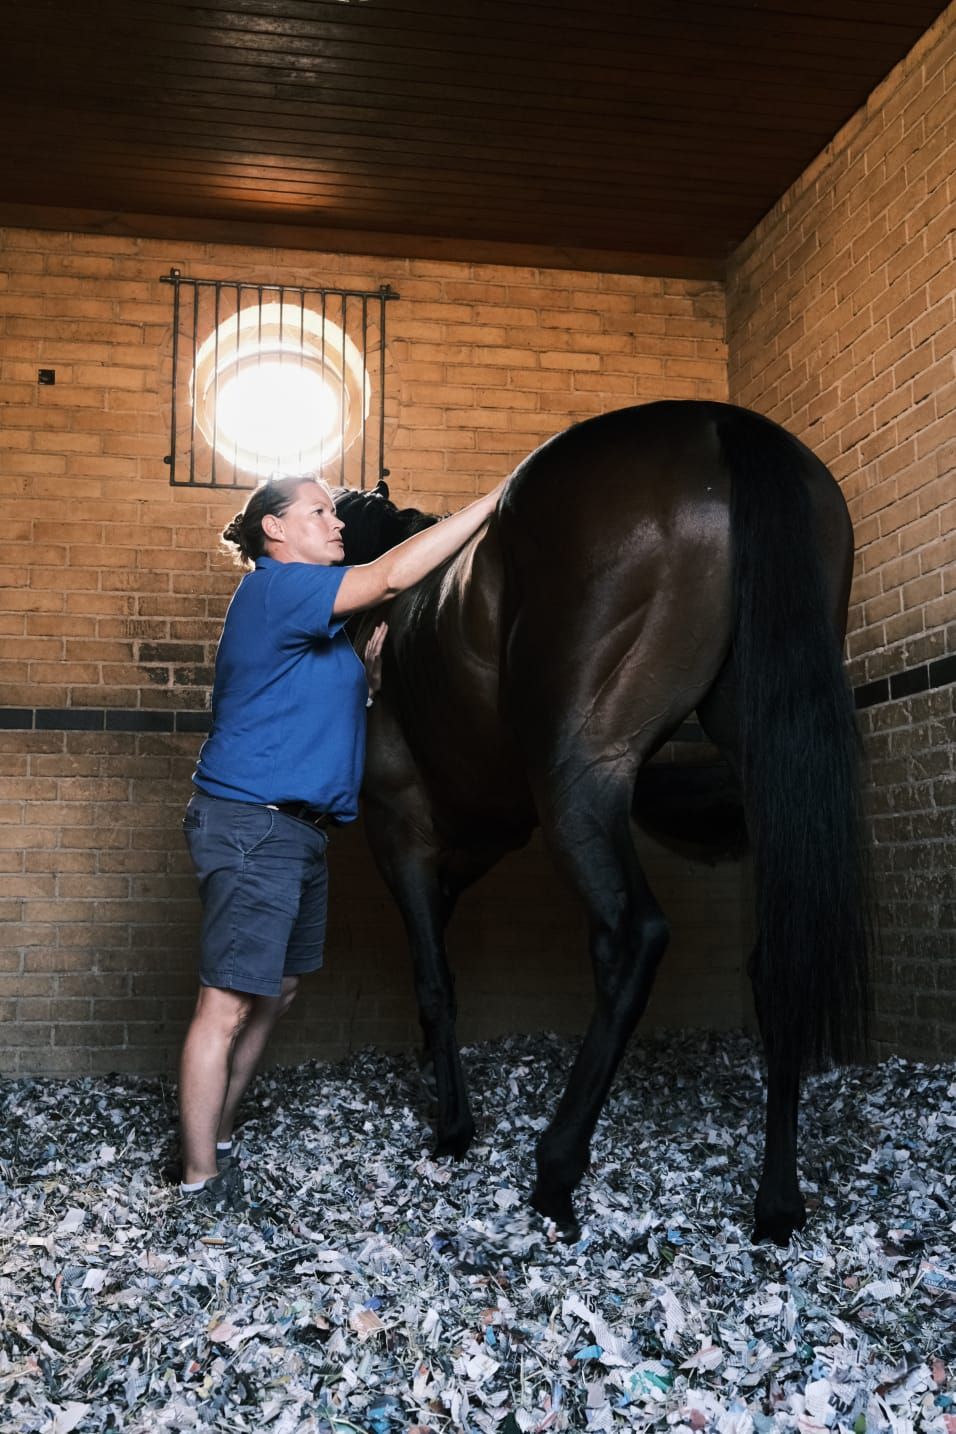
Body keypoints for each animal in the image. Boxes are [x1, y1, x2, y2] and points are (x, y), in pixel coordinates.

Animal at [334, 400, 870, 1246]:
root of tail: (721, 424)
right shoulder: (482, 839)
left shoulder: (403, 829)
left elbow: (434, 976)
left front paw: (453, 1129)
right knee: (773, 956)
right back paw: (777, 1203)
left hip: (579, 779)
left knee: (632, 935)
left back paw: (556, 1170)